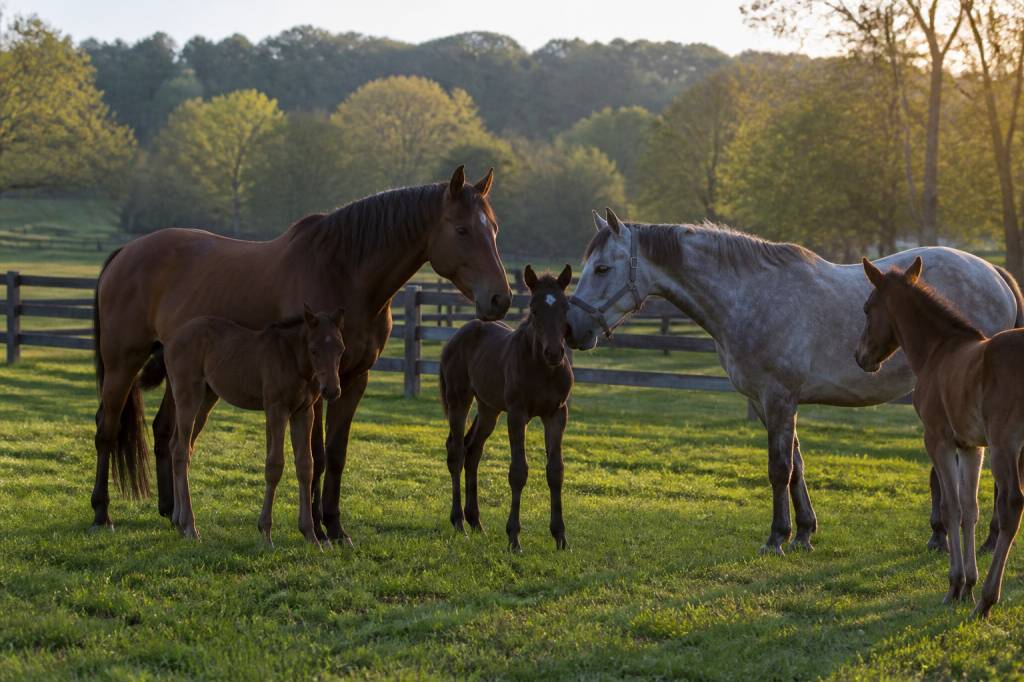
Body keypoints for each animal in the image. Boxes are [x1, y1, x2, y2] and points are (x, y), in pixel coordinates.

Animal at [163, 305, 345, 547]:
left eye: (340, 349)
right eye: (314, 350)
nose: (332, 390)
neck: (292, 359)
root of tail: (173, 339)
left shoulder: (303, 413)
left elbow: (306, 465)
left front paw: (311, 535)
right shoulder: (276, 409)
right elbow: (274, 465)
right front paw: (265, 532)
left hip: (207, 398)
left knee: (177, 446)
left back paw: (179, 521)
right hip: (188, 395)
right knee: (181, 451)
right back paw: (190, 526)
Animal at [439, 265, 574, 552]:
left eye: (566, 307)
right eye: (534, 308)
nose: (554, 353)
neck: (542, 369)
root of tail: (459, 334)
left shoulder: (556, 414)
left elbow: (555, 471)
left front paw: (560, 537)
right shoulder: (517, 414)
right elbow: (518, 471)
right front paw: (514, 538)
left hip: (488, 408)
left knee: (473, 450)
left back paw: (476, 522)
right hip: (459, 399)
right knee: (456, 451)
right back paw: (459, 522)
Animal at [566, 208, 1024, 555]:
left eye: (602, 267)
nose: (573, 330)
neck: (748, 295)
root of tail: (995, 273)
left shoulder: (779, 398)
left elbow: (779, 469)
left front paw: (776, 538)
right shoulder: (769, 403)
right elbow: (797, 466)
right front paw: (804, 531)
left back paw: (980, 540)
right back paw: (949, 537)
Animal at [857, 257, 1024, 617]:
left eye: (867, 308)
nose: (860, 357)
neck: (939, 352)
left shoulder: (938, 440)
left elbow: (950, 508)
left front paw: (956, 586)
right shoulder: (972, 446)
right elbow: (970, 508)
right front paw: (969, 585)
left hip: (1006, 444)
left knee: (1011, 505)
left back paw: (988, 601)